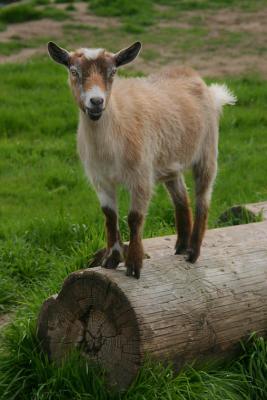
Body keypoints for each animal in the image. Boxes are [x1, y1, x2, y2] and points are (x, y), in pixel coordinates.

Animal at [47, 40, 237, 278]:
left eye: (112, 72)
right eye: (74, 71)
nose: (96, 101)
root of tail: (204, 85)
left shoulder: (141, 176)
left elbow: (134, 217)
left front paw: (134, 265)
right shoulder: (101, 179)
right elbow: (110, 216)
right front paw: (111, 259)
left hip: (207, 151)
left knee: (203, 198)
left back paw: (193, 252)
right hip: (170, 164)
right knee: (181, 198)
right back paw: (181, 247)